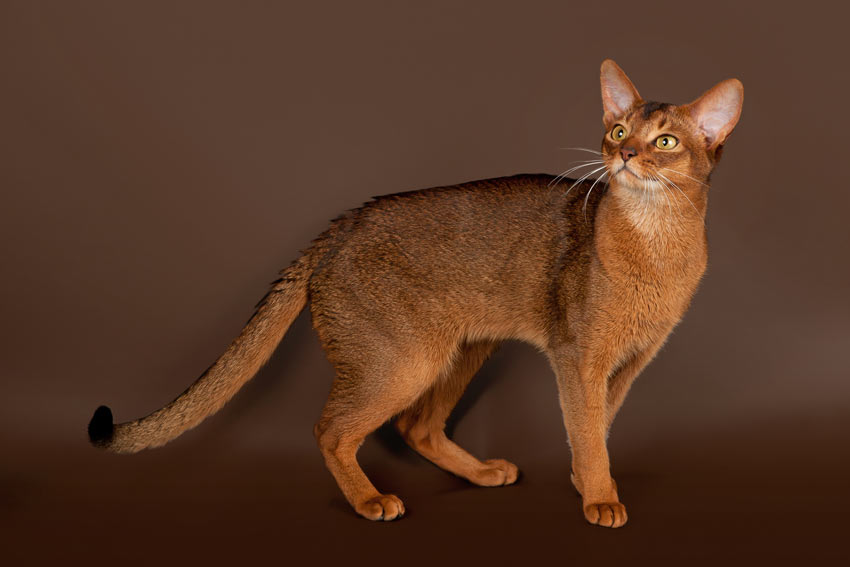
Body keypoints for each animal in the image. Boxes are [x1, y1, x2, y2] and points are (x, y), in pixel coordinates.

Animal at [89, 60, 744, 532]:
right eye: (618, 130)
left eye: (665, 141)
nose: (626, 154)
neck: (657, 244)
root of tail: (341, 226)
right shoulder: (578, 358)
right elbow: (586, 432)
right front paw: (600, 500)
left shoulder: (627, 365)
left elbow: (597, 429)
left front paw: (589, 485)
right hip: (405, 360)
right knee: (331, 429)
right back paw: (370, 501)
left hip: (462, 350)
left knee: (415, 426)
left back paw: (479, 474)